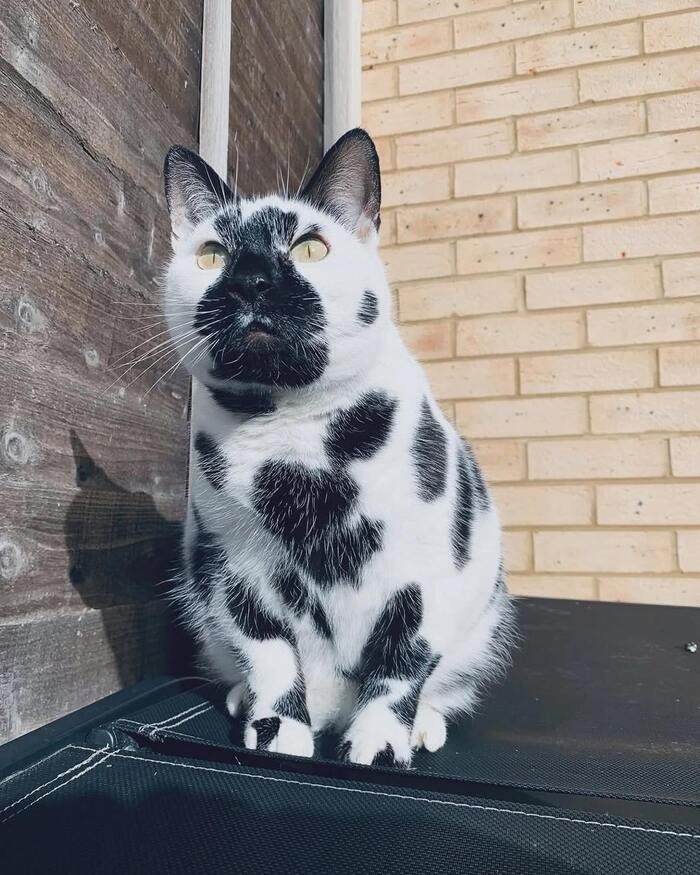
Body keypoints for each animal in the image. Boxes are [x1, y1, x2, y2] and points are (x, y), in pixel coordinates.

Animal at [161, 128, 514, 767]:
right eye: (212, 255)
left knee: (442, 682)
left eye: (309, 248)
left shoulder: (427, 574)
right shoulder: (231, 569)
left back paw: (422, 724)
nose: (252, 280)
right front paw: (277, 729)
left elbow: (401, 666)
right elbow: (270, 656)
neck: (293, 442)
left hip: (483, 624)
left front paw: (379, 742)